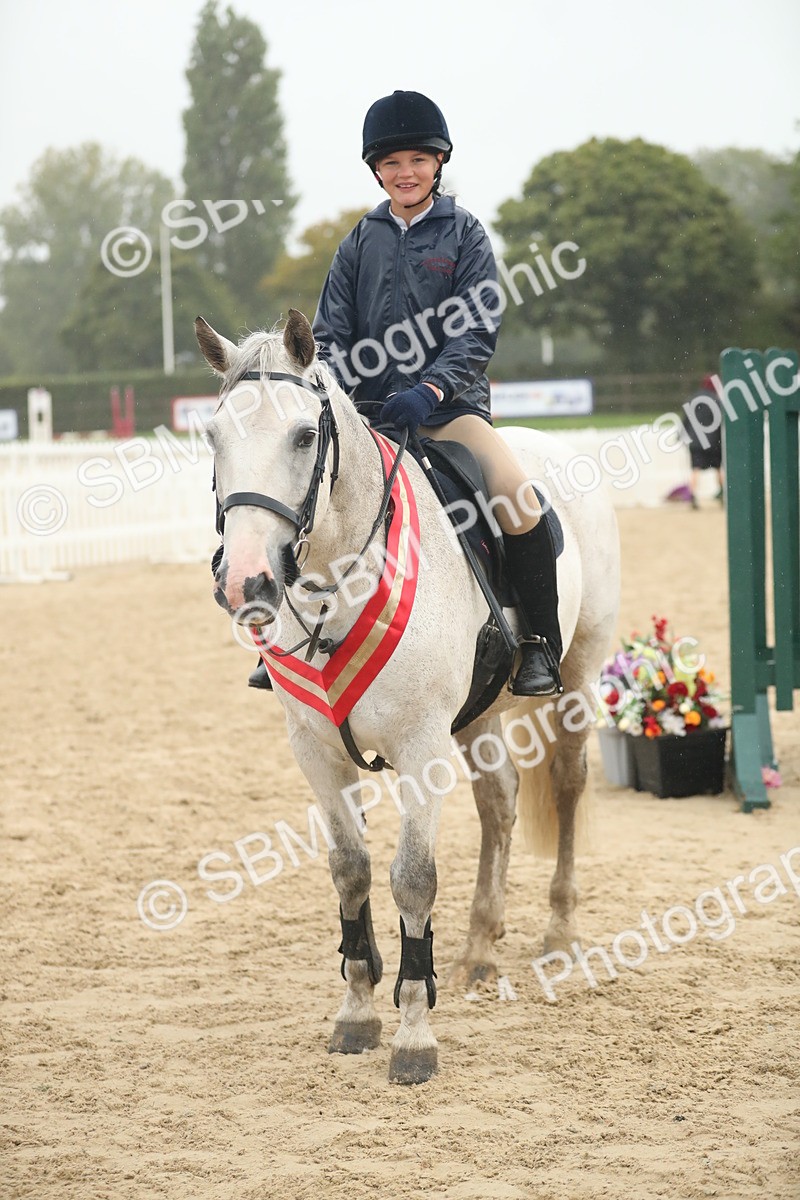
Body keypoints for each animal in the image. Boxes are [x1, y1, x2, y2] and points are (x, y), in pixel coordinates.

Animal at [196, 308, 620, 1085]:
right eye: (213, 436)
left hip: (578, 679)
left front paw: (414, 1036)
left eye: (303, 436)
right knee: (500, 806)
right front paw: (358, 1012)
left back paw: (559, 933)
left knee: (569, 785)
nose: (245, 581)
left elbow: (413, 879)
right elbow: (351, 872)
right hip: (479, 718)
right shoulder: (317, 753)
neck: (340, 580)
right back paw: (479, 950)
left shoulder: (421, 747)